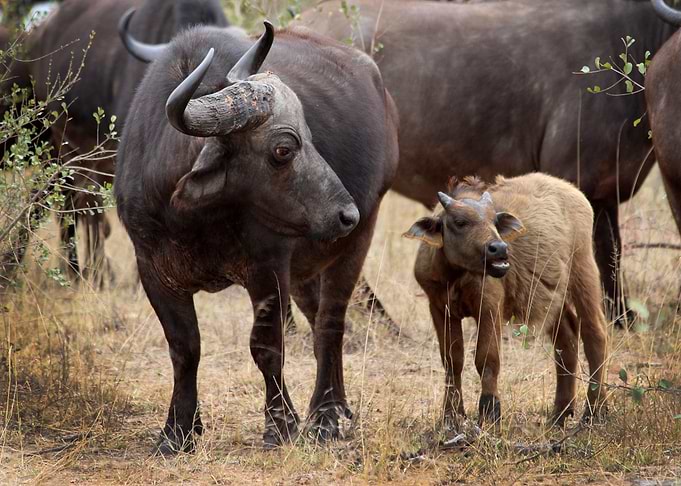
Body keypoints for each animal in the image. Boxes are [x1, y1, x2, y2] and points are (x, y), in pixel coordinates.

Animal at [116, 18, 398, 452]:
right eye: (283, 149)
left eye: (309, 133)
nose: (346, 214)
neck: (194, 220)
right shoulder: (152, 270)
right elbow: (184, 347)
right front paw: (178, 431)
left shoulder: (268, 268)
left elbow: (265, 346)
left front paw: (281, 426)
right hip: (306, 267)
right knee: (316, 320)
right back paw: (336, 406)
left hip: (357, 242)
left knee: (331, 323)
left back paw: (326, 415)